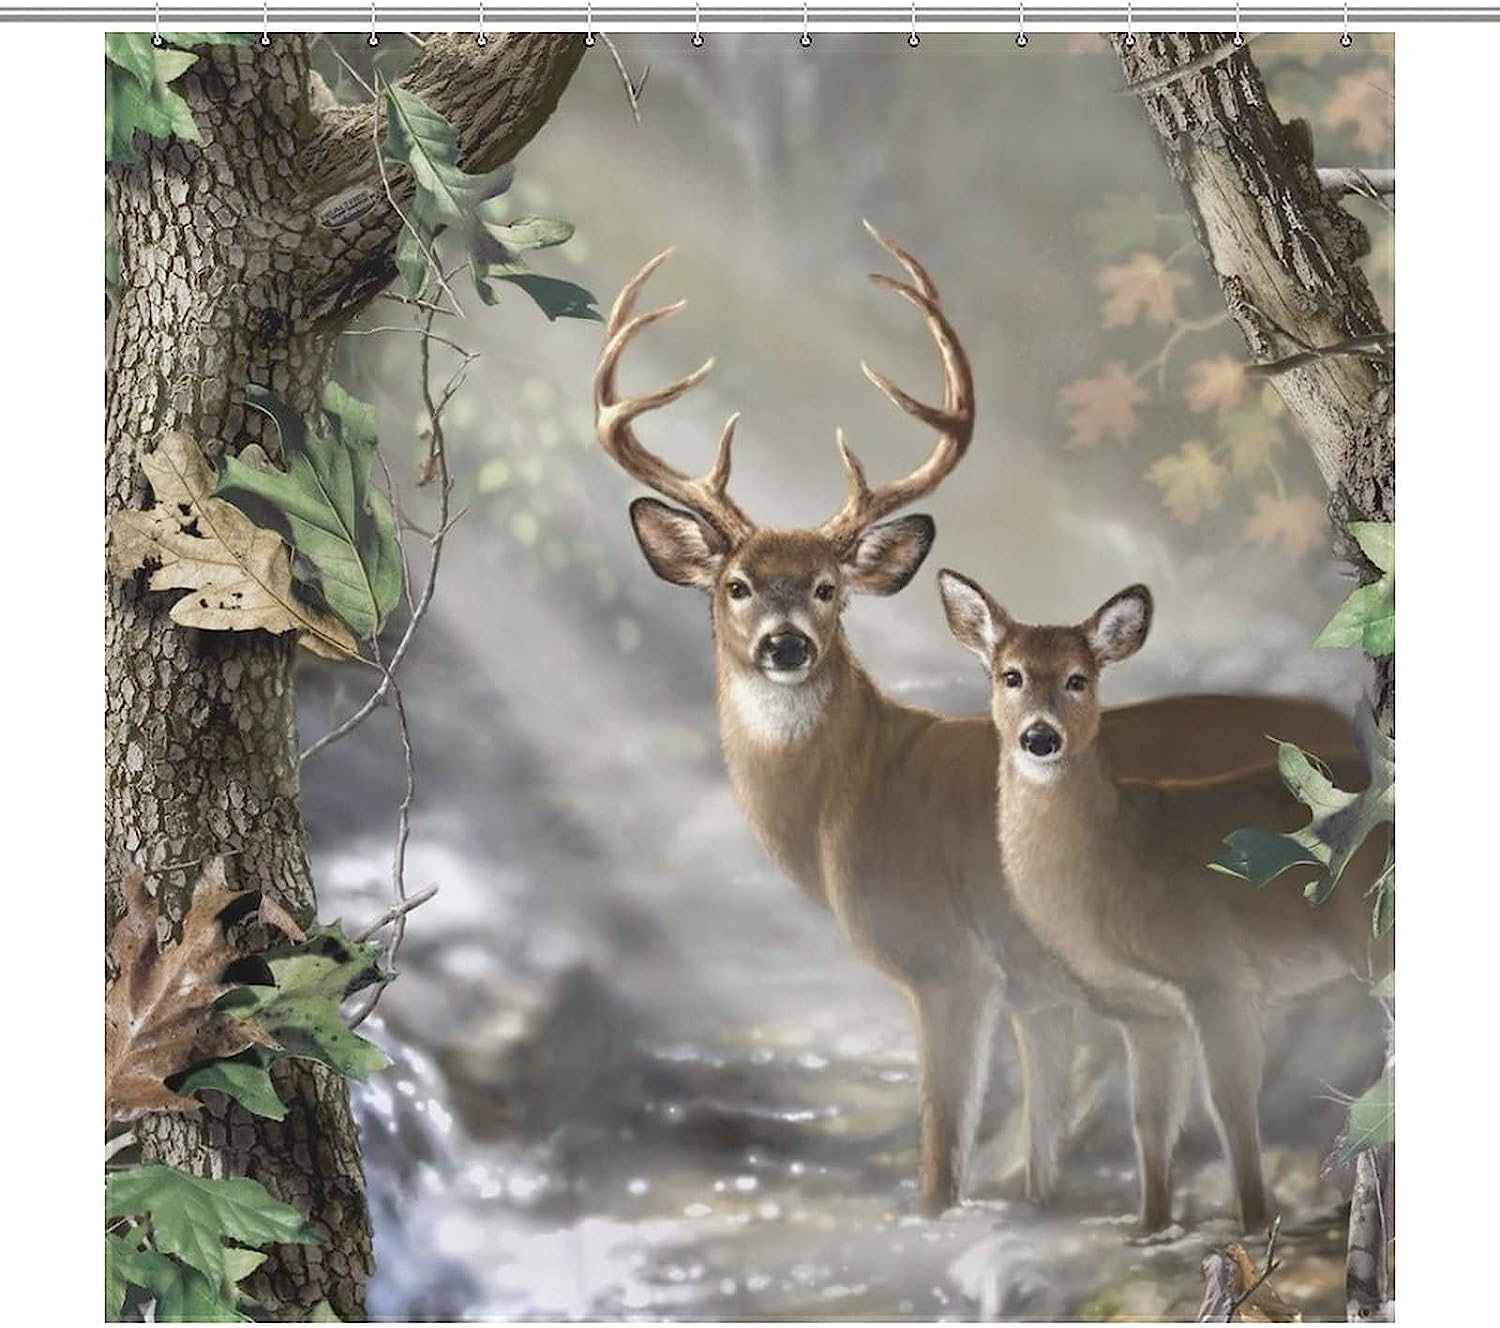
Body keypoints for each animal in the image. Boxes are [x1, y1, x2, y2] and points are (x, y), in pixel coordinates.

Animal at [937, 569, 1392, 1234]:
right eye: (1010, 675)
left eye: (1079, 678)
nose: (1040, 737)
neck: (1116, 862)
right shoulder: (1146, 1012)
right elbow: (1150, 1120)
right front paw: (1150, 1226)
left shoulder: (1217, 973)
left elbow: (1231, 1105)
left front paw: (1254, 1222)